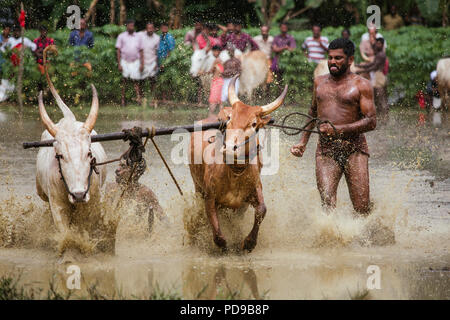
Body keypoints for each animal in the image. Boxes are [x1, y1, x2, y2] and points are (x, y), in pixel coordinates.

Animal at [187, 75, 286, 252]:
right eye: (230, 119)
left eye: (253, 124)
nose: (229, 148)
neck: (234, 173)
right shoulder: (209, 197)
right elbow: (213, 221)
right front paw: (222, 244)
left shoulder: (253, 191)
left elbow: (262, 210)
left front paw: (249, 242)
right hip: (197, 186)